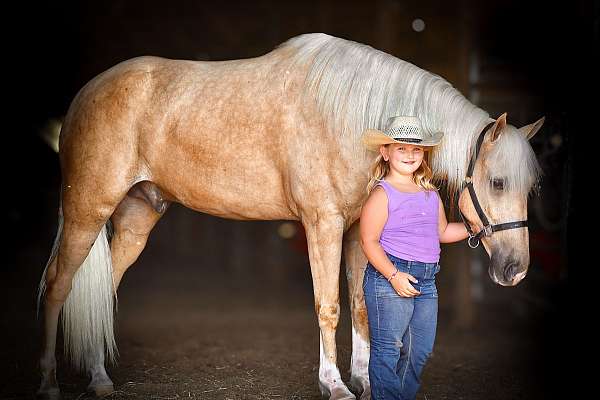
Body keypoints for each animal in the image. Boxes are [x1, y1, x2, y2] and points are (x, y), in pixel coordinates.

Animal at [37, 32, 544, 398]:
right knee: (58, 285)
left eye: (530, 188)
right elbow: (329, 305)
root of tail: (86, 94)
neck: (351, 118)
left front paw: (363, 380)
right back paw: (48, 384)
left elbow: (360, 305)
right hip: (87, 210)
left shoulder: (357, 230)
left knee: (105, 288)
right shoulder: (322, 223)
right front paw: (334, 385)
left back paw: (100, 380)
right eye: (499, 183)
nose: (516, 270)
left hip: (137, 215)